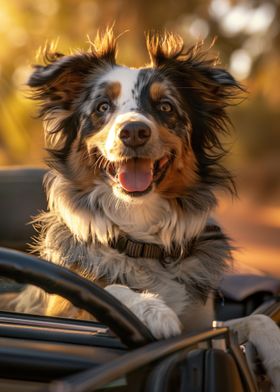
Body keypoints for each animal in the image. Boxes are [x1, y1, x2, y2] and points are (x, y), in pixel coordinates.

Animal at [13, 30, 241, 336]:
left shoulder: (206, 322)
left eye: (166, 106)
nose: (133, 131)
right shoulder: (61, 306)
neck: (140, 238)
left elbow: (253, 322)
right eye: (102, 107)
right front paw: (153, 309)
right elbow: (113, 289)